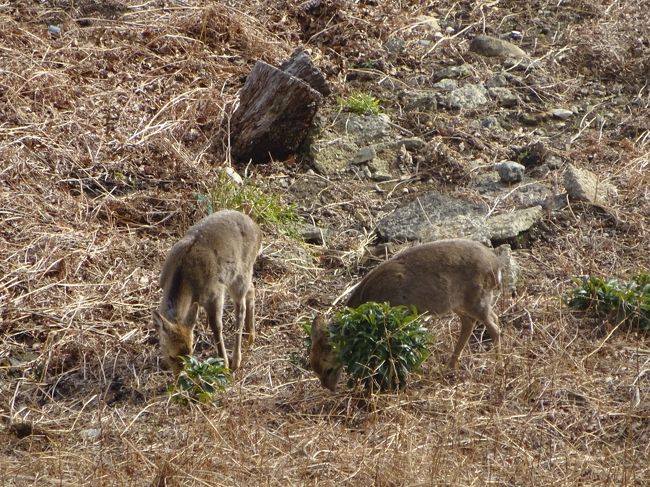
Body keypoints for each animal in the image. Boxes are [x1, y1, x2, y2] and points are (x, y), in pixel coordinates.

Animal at [152, 208, 260, 376]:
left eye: (191, 351)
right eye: (171, 355)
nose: (180, 377)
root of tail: (258, 230)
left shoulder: (215, 293)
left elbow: (216, 326)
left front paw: (224, 364)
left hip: (241, 274)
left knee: (240, 309)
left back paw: (236, 360)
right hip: (241, 277)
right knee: (252, 289)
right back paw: (250, 337)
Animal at [308, 240, 502, 392]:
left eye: (328, 369)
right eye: (313, 366)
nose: (328, 387)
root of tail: (495, 265)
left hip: (477, 298)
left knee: (494, 325)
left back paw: (497, 364)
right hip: (458, 303)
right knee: (471, 322)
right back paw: (451, 366)